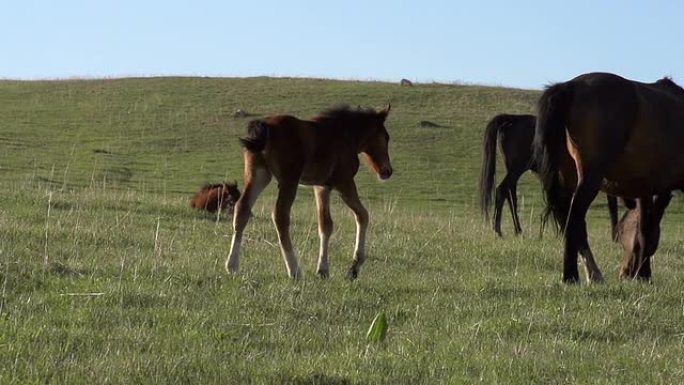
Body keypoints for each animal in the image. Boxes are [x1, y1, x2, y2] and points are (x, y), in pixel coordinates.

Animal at [226, 105, 392, 280]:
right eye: (386, 137)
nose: (387, 171)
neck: (345, 134)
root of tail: (265, 126)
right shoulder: (344, 182)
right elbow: (362, 215)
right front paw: (354, 267)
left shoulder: (321, 187)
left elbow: (325, 225)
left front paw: (323, 270)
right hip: (288, 180)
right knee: (280, 216)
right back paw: (294, 271)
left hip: (258, 175)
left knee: (242, 209)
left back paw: (232, 266)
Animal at [478, 112, 624, 236]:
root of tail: (512, 120)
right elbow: (611, 206)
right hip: (517, 168)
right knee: (502, 190)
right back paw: (498, 230)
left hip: (513, 169)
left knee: (510, 195)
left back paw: (518, 230)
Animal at [536, 72, 684, 282]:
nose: (625, 272)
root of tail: (569, 87)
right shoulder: (662, 190)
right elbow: (650, 231)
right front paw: (643, 274)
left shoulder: (645, 190)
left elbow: (644, 231)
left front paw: (641, 274)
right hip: (590, 177)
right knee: (573, 219)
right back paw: (571, 276)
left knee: (573, 223)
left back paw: (592, 273)